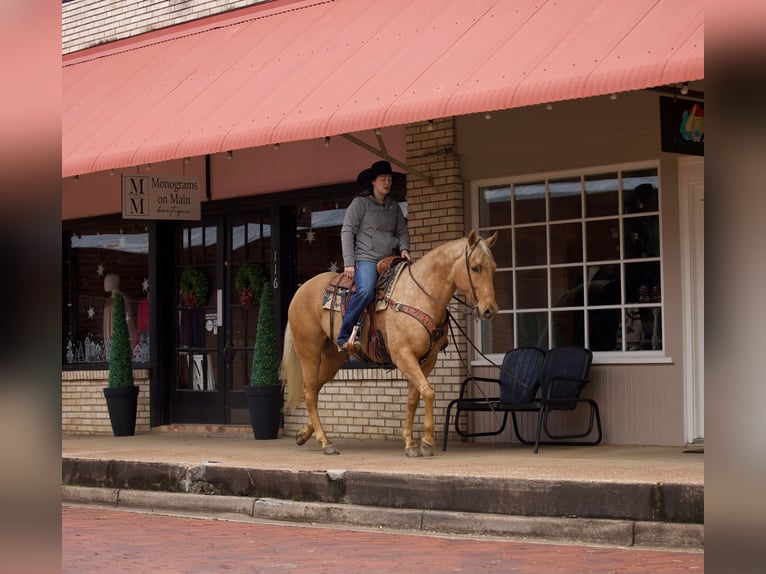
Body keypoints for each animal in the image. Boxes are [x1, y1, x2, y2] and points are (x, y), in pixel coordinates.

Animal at [282, 230, 498, 460]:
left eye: (493, 268)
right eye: (475, 267)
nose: (489, 309)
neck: (419, 295)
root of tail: (300, 291)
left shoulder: (427, 360)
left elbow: (414, 397)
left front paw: (411, 442)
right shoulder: (403, 355)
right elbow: (428, 391)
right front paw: (427, 442)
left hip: (333, 358)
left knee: (312, 390)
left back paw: (305, 434)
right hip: (309, 352)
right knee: (309, 393)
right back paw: (325, 442)